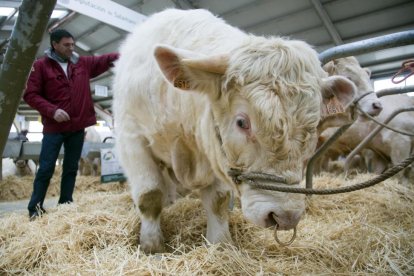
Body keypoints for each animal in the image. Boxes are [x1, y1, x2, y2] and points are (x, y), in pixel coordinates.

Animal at [112, 8, 356, 253]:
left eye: (313, 126)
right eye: (241, 122)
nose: (285, 216)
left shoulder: (215, 156)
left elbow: (217, 200)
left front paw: (220, 243)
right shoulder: (132, 141)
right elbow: (149, 196)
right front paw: (152, 246)